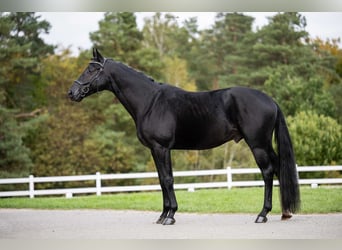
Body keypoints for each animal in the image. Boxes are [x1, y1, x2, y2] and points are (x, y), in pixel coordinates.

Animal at [69, 48, 300, 225]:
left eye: (91, 69)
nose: (71, 93)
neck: (150, 102)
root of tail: (270, 100)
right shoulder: (155, 150)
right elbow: (162, 180)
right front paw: (162, 215)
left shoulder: (162, 148)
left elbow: (168, 179)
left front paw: (170, 216)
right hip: (265, 145)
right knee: (279, 168)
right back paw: (284, 212)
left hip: (258, 144)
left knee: (268, 172)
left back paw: (262, 214)